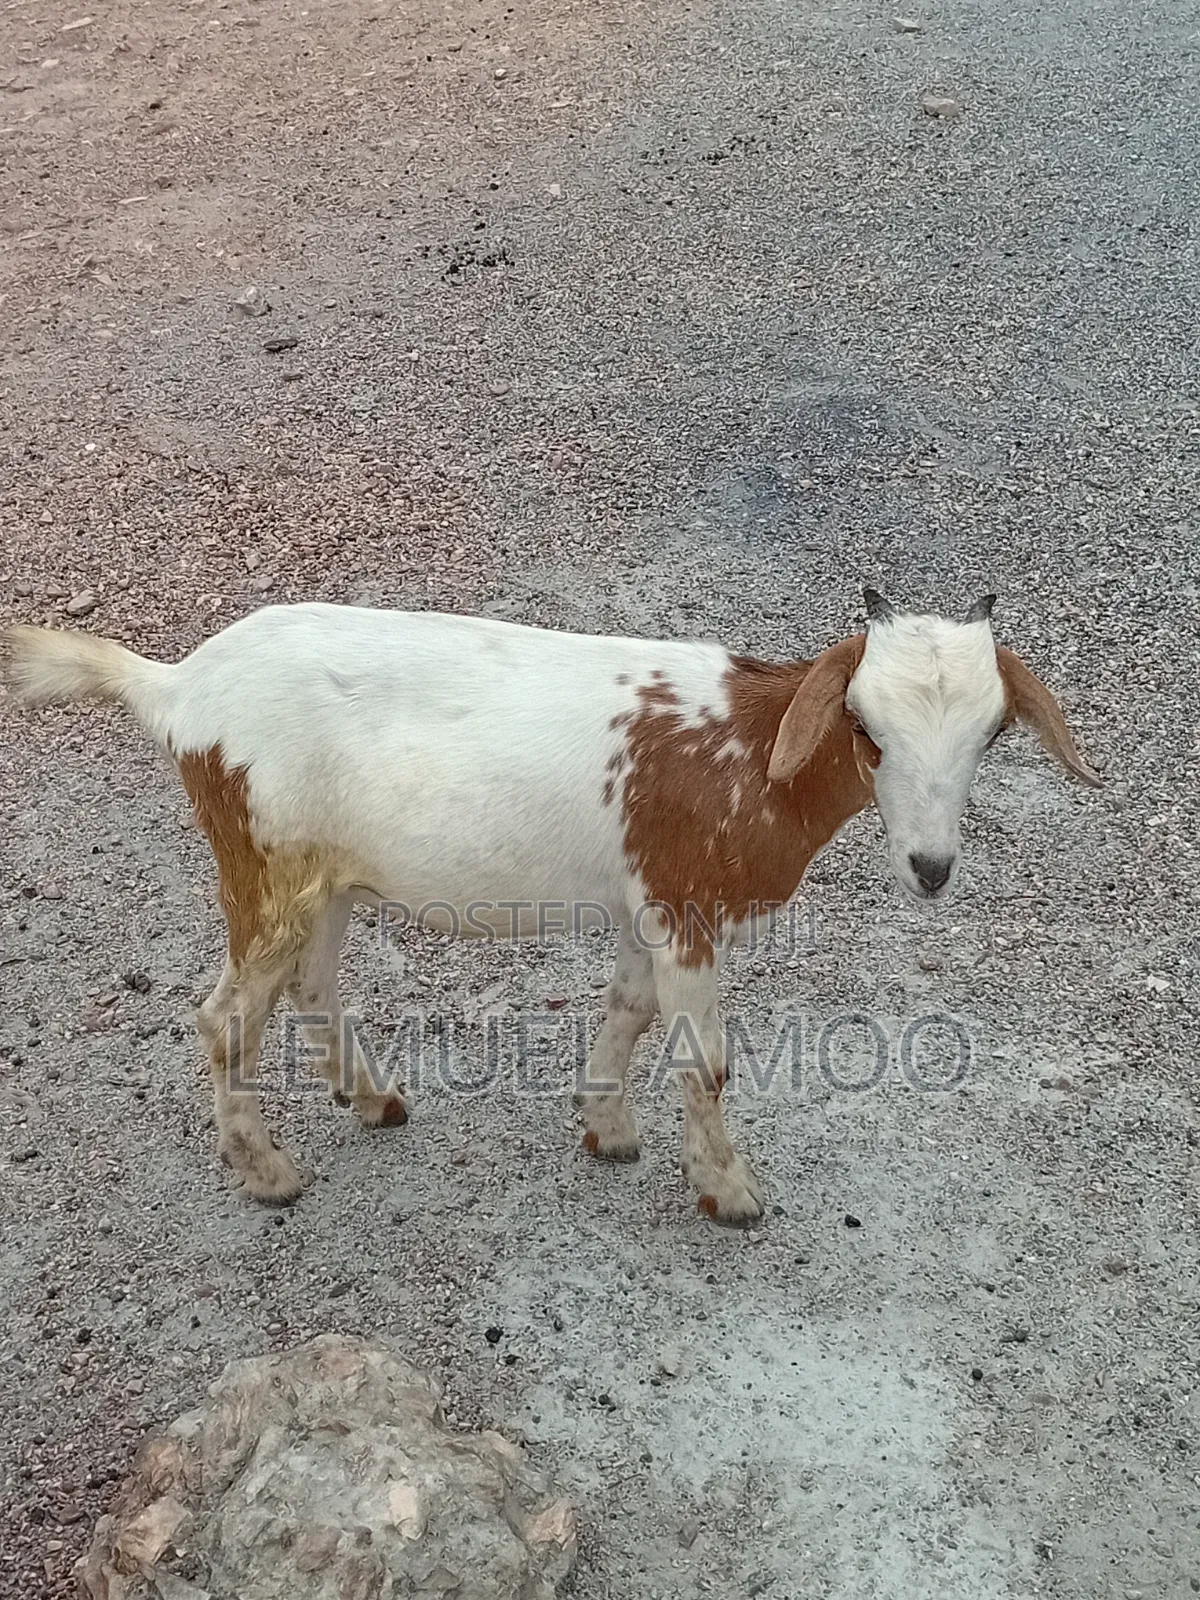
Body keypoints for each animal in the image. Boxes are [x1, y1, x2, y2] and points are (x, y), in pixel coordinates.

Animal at [3, 589, 1100, 1225]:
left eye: (995, 732)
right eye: (865, 727)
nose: (930, 866)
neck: (750, 753)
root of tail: (178, 686)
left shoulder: (644, 903)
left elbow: (629, 1009)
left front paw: (607, 1128)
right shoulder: (685, 903)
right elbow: (704, 1058)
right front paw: (729, 1192)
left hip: (323, 876)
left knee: (309, 986)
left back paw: (371, 1098)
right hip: (264, 861)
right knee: (224, 1018)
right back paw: (266, 1171)